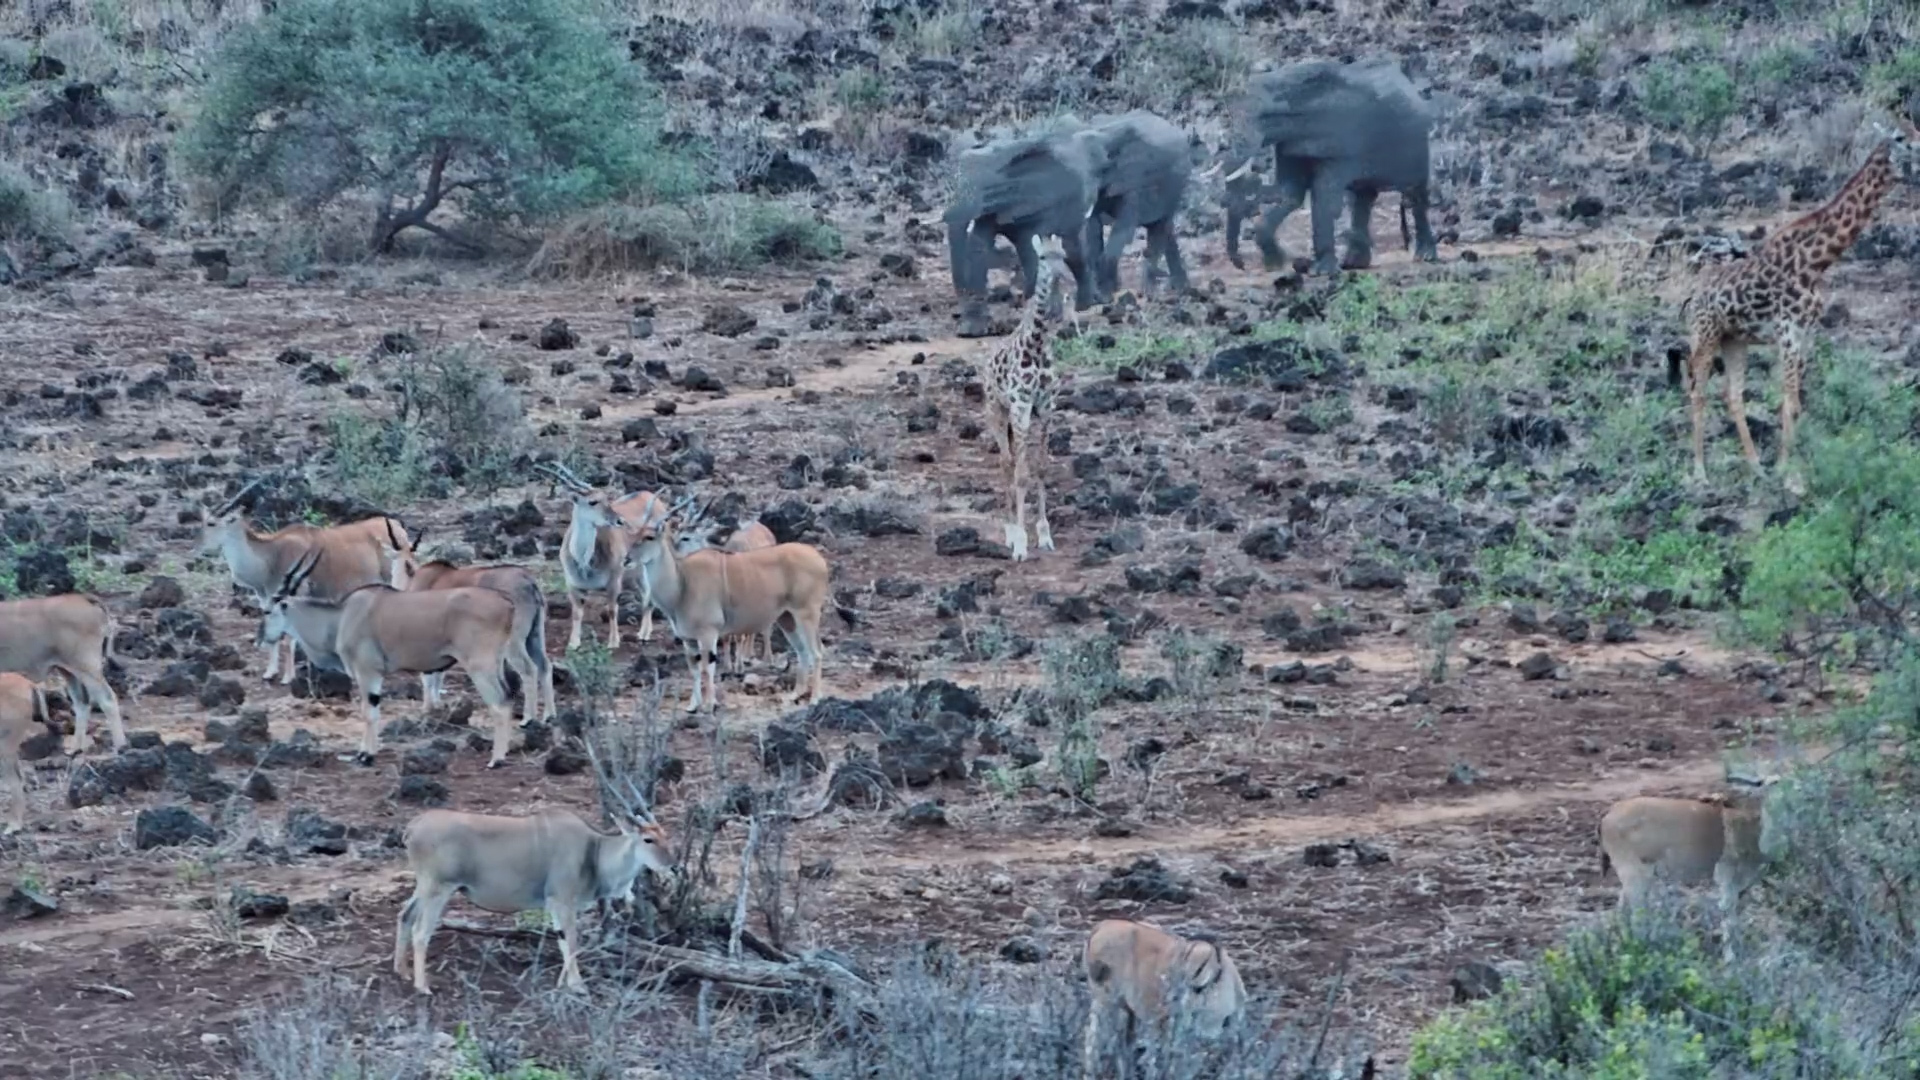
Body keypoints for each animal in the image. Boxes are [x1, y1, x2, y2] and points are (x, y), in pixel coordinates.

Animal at [944, 122, 1107, 338]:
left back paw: (1084, 306)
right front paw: (971, 331)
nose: (958, 318)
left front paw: (1042, 313)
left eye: (988, 189)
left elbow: (1032, 249)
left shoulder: (1034, 200)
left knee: (1073, 249)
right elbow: (979, 243)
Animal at [983, 232, 1071, 562]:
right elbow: (1021, 473)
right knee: (1006, 463)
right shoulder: (1020, 407)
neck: (1038, 344)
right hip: (997, 412)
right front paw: (1020, 542)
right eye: (1042, 257)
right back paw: (1009, 532)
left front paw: (1044, 535)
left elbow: (1042, 467)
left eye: (1063, 256)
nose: (1062, 276)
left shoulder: (1046, 408)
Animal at [1081, 110, 1194, 301]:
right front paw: (1101, 295)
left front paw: (1107, 294)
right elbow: (1093, 230)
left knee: (1160, 228)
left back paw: (1152, 293)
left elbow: (1123, 231)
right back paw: (1180, 288)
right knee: (1164, 229)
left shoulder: (1137, 181)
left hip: (1175, 187)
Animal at [1218, 56, 1439, 276]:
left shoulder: (1341, 143)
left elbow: (1324, 196)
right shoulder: (1288, 143)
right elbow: (1289, 193)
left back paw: (1425, 256)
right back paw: (1354, 263)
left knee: (1415, 195)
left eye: (1264, 118)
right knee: (1363, 199)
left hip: (1418, 146)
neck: (1287, 85)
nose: (1241, 265)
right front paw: (1275, 264)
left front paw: (1321, 271)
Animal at [1679, 119, 1917, 491]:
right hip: (1705, 336)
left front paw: (1790, 468)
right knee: (1697, 390)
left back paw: (1755, 468)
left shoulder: (1805, 332)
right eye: (1900, 138)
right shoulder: (1788, 330)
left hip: (1734, 340)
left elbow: (1796, 401)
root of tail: (1692, 296)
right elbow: (1789, 399)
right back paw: (1700, 473)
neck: (1816, 262)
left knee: (1733, 395)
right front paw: (1788, 474)